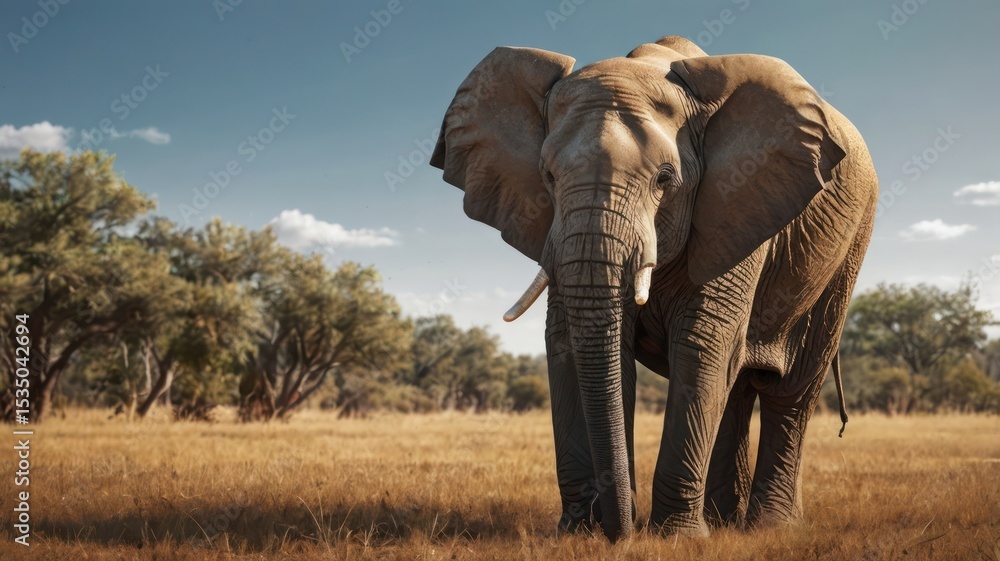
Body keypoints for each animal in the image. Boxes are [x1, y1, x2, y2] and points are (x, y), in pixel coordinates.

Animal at [430, 36, 877, 541]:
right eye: (547, 177)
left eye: (665, 179)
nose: (620, 533)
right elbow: (569, 341)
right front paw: (576, 533)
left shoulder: (738, 200)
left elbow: (703, 344)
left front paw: (677, 538)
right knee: (736, 389)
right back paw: (723, 522)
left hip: (848, 249)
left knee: (791, 390)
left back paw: (768, 528)